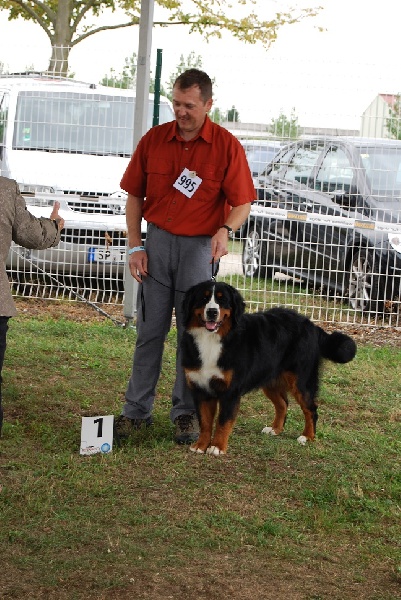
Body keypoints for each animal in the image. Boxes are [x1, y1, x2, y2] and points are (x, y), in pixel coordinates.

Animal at [181, 280, 356, 454]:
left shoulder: (230, 391)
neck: (211, 340)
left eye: (222, 300)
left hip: (301, 381)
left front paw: (217, 447)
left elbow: (223, 422)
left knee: (311, 409)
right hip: (271, 380)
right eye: (203, 299)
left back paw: (307, 436)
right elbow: (205, 422)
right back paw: (275, 429)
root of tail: (311, 325)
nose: (212, 312)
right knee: (283, 404)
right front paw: (201, 445)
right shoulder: (201, 389)